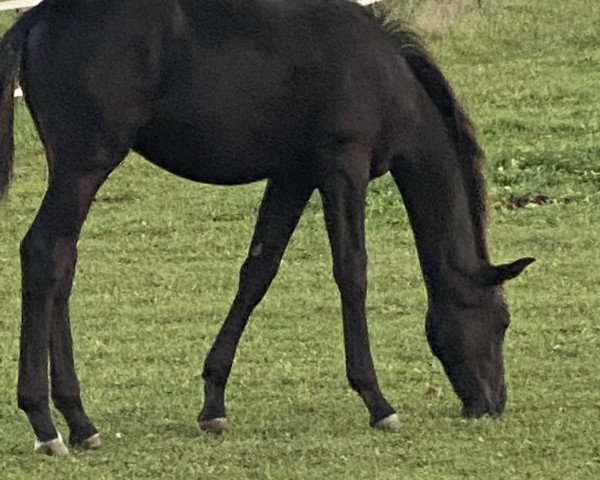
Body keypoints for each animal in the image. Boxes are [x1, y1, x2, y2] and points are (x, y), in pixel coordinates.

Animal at [1, 0, 536, 454]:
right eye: (501, 322)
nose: (492, 403)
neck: (382, 77)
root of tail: (42, 16)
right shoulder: (343, 168)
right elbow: (352, 272)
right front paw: (377, 401)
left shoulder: (292, 177)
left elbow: (257, 273)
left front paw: (213, 404)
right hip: (86, 165)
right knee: (44, 252)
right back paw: (45, 425)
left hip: (74, 170)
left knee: (63, 263)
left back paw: (79, 421)